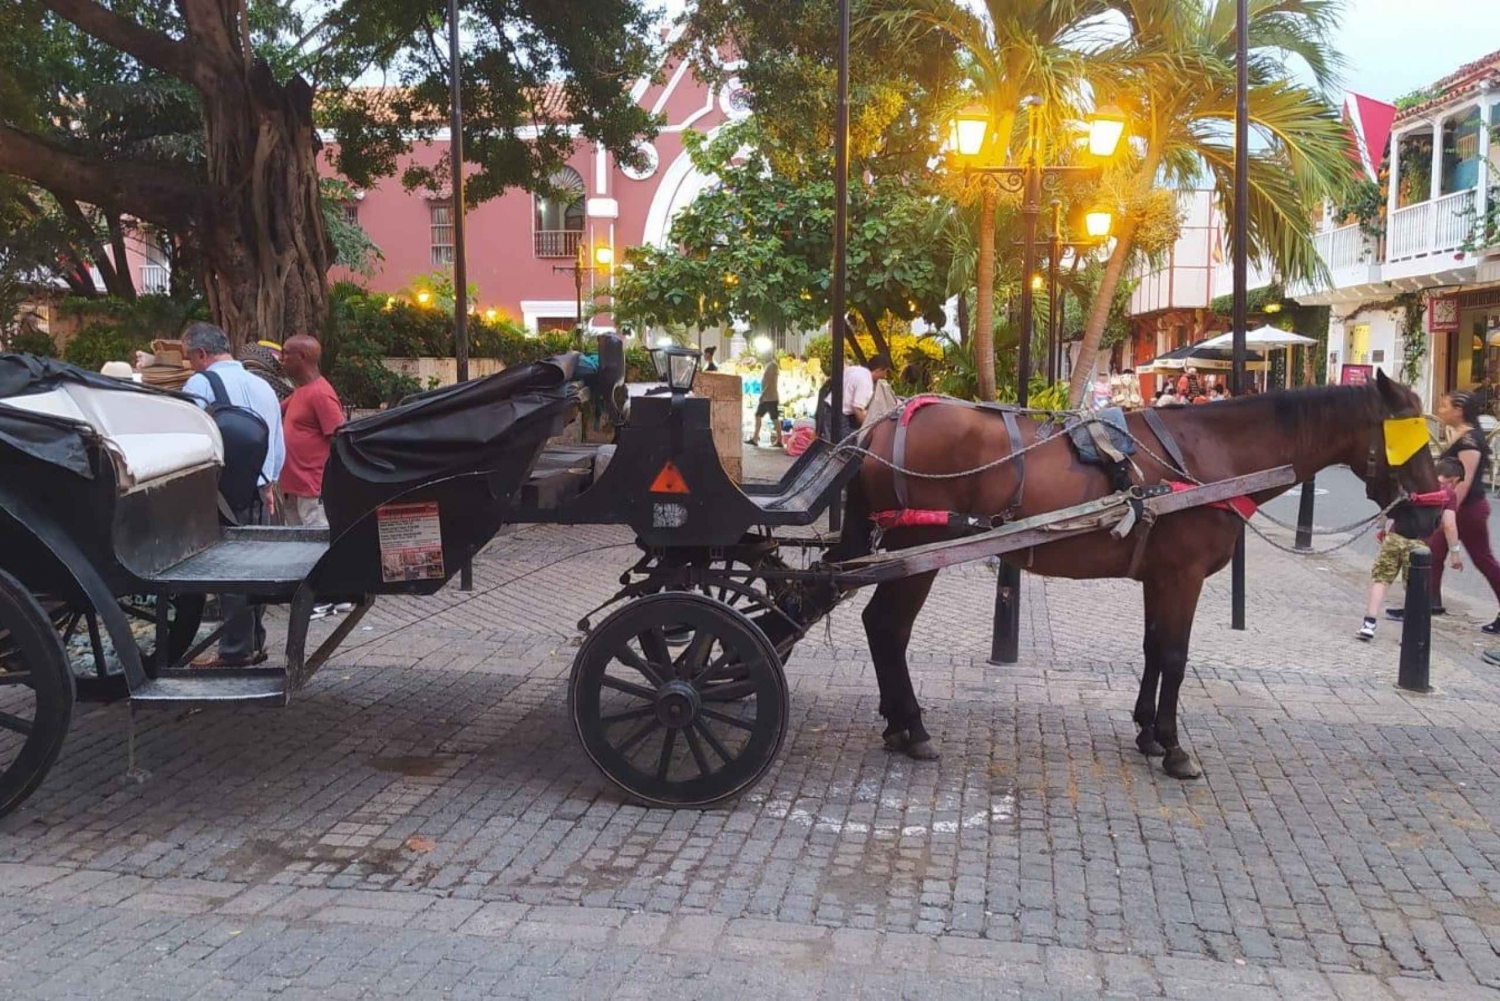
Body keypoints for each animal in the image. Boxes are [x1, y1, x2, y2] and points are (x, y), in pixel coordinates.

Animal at [825, 370, 1440, 779]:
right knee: (888, 628)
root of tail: (881, 429)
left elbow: (1151, 649)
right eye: (1410, 438)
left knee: (880, 627)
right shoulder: (1184, 576)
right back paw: (913, 727)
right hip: (919, 551)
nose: (1431, 516)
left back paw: (898, 724)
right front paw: (1172, 745)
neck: (1215, 455)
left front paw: (1146, 731)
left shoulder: (1160, 576)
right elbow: (1175, 655)